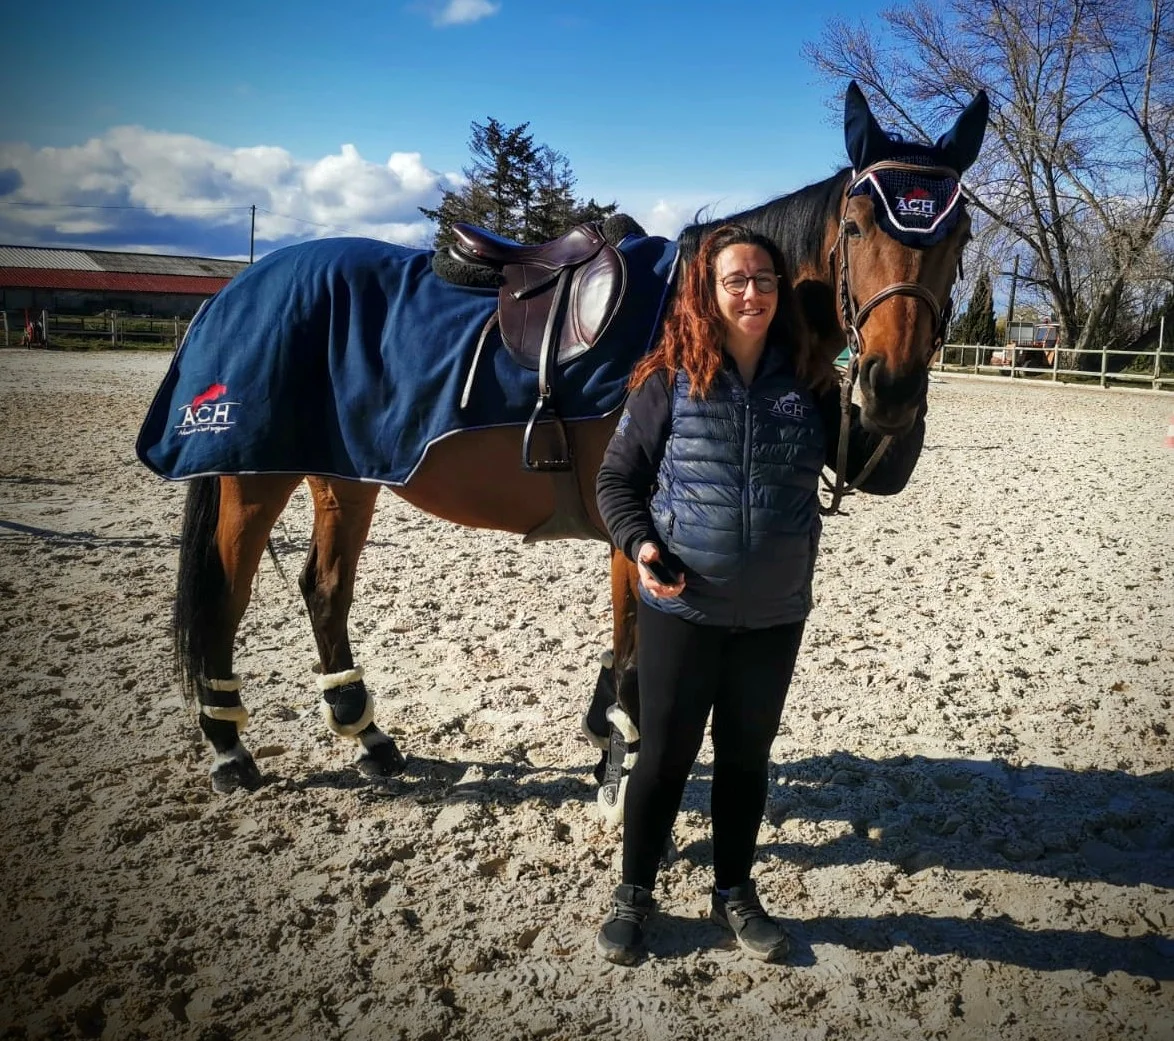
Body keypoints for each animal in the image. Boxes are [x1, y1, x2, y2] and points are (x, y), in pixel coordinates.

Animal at [149, 83, 990, 798]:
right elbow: (636, 654)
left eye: (960, 232)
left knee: (324, 590)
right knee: (228, 596)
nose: (890, 387)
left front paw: (601, 737)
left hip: (345, 473)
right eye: (855, 225)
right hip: (253, 477)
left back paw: (370, 739)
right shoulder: (637, 535)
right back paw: (230, 750)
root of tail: (237, 287)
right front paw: (621, 766)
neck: (692, 325)